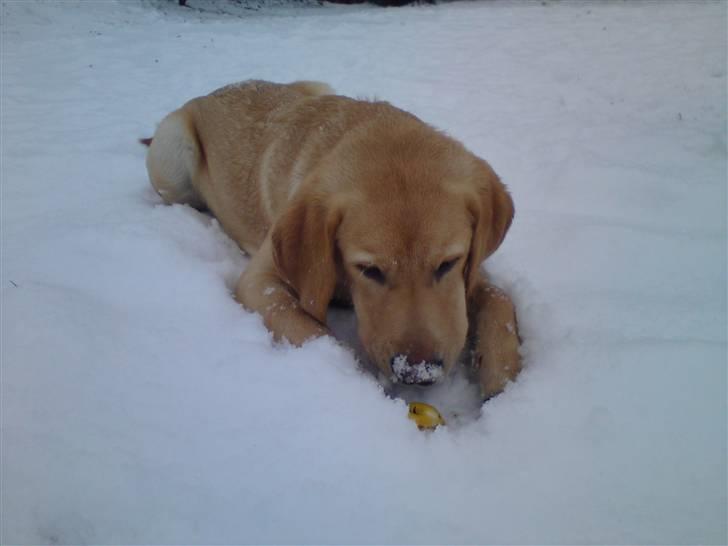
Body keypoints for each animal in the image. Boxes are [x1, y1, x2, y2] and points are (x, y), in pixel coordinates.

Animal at [141, 78, 516, 398]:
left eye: (448, 263)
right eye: (369, 269)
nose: (418, 372)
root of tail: (213, 91)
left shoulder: (470, 273)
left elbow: (500, 297)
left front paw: (502, 373)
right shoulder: (259, 280)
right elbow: (316, 336)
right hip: (174, 152)